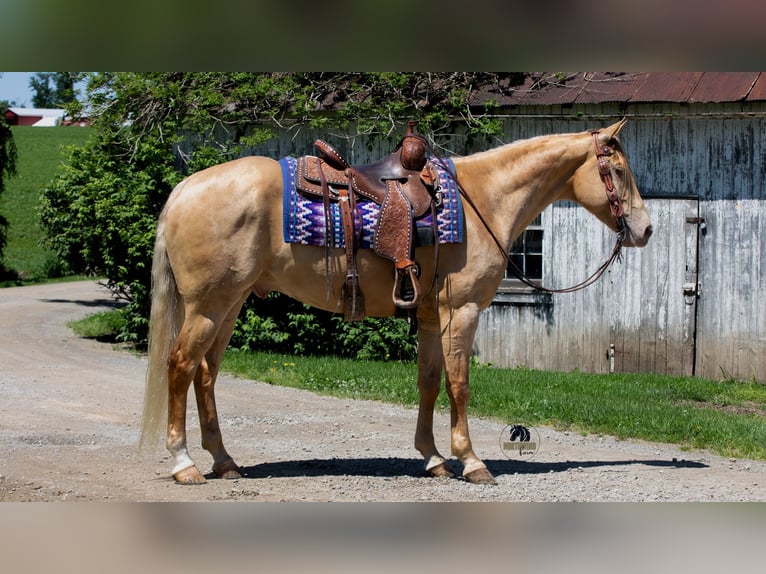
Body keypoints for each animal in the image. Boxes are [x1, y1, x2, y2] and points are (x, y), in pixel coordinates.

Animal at [139, 119, 653, 485]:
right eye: (618, 171)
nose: (646, 230)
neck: (483, 199)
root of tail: (185, 188)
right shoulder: (461, 312)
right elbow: (460, 386)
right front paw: (471, 462)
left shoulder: (428, 317)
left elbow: (428, 383)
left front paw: (433, 458)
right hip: (209, 305)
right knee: (181, 366)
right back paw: (184, 463)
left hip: (229, 305)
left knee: (206, 374)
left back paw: (224, 461)